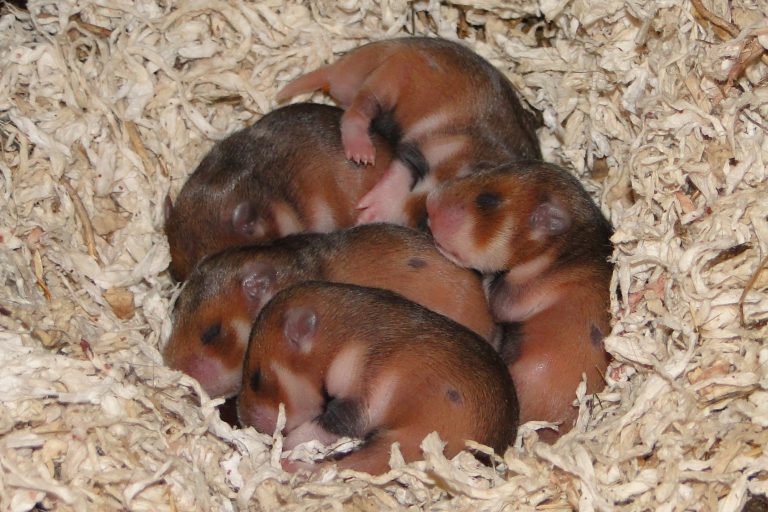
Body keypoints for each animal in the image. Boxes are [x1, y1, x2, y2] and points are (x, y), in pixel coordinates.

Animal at [237, 281, 519, 474]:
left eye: (256, 379)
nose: (243, 422)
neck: (344, 339)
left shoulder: (358, 400)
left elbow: (323, 425)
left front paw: (287, 445)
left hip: (400, 444)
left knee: (344, 467)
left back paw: (293, 466)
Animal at [276, 37, 541, 227]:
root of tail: (337, 71)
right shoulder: (418, 152)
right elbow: (399, 174)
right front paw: (369, 213)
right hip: (385, 81)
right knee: (355, 114)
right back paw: (361, 152)